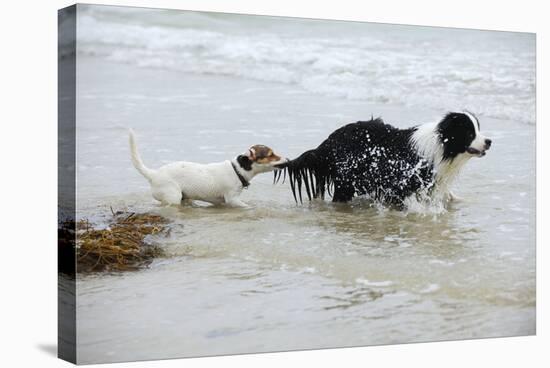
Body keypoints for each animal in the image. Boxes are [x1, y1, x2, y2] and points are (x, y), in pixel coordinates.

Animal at [128, 129, 286, 207]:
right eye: (271, 155)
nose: (288, 160)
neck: (237, 170)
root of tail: (153, 174)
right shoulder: (232, 199)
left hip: (184, 197)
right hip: (173, 196)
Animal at [278, 111, 494, 207]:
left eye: (478, 128)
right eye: (469, 133)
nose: (489, 141)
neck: (442, 145)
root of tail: (328, 142)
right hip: (347, 178)